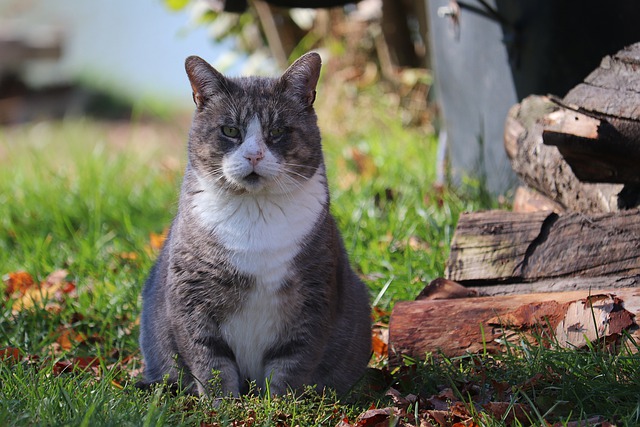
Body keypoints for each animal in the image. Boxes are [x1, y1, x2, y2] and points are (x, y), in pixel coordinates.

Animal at [138, 52, 372, 398]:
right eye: (230, 130)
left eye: (277, 131)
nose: (253, 155)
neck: (255, 210)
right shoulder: (191, 296)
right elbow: (209, 358)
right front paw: (224, 403)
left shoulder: (313, 296)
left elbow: (293, 361)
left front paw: (279, 403)